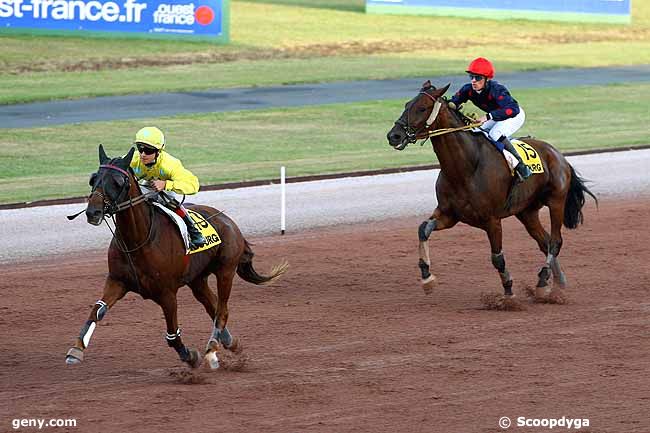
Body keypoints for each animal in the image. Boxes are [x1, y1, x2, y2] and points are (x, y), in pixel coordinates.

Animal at [65, 145, 286, 368]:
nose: (93, 212)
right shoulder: (117, 281)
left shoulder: (167, 293)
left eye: (118, 181)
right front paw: (76, 350)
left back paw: (212, 347)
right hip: (197, 280)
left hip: (225, 271)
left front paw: (190, 356)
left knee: (222, 310)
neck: (138, 241)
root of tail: (230, 221)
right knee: (213, 307)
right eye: (93, 179)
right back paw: (229, 342)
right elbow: (97, 310)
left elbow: (172, 335)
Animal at [382, 81, 596, 298]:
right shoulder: (449, 214)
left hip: (556, 201)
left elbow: (497, 258)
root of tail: (559, 155)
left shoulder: (492, 220)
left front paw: (508, 293)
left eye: (422, 108)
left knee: (555, 241)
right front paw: (427, 277)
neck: (466, 168)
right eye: (407, 104)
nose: (394, 135)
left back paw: (544, 280)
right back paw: (556, 281)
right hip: (526, 211)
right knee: (544, 242)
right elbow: (423, 230)